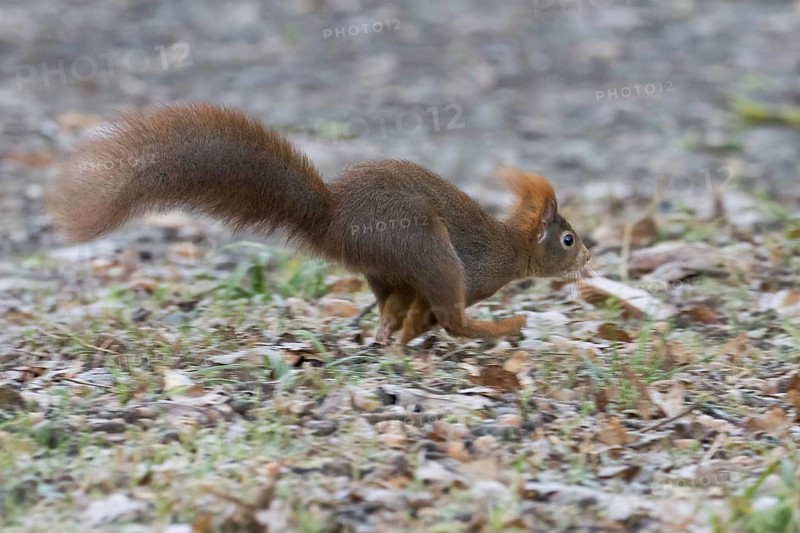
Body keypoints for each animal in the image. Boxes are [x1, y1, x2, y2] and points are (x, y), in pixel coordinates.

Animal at [49, 103, 590, 344]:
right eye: (567, 238)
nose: (588, 256)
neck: (513, 248)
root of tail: (333, 218)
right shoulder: (473, 272)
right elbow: (439, 312)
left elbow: (414, 312)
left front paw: (405, 336)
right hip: (426, 246)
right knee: (451, 315)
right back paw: (499, 326)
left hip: (390, 264)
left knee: (390, 304)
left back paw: (389, 333)